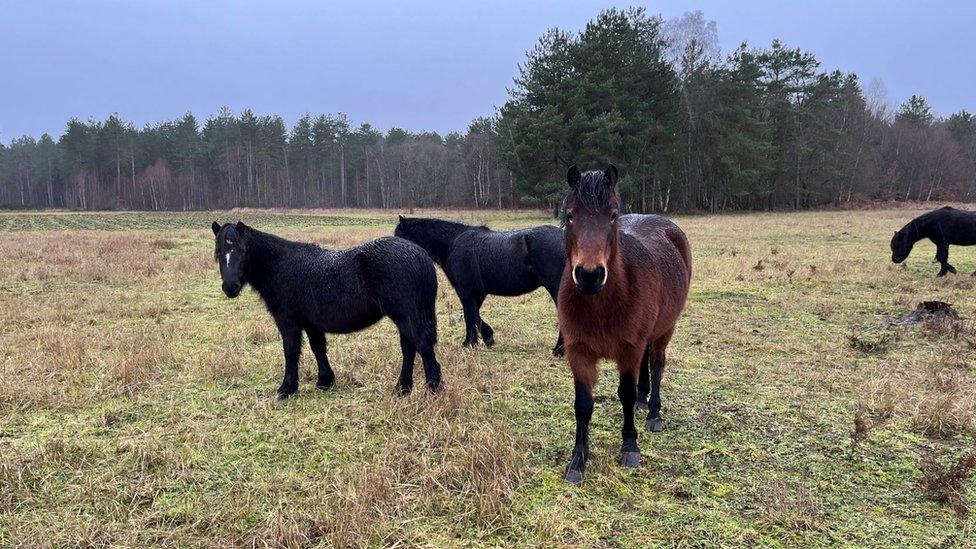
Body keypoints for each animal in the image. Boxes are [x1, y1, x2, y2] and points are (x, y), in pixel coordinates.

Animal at [214, 220, 446, 396]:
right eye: (218, 252)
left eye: (242, 250)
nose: (230, 287)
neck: (281, 267)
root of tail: (420, 255)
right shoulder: (311, 323)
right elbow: (318, 348)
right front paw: (325, 381)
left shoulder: (288, 322)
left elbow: (291, 351)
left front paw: (287, 389)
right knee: (409, 349)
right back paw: (402, 388)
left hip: (406, 316)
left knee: (422, 347)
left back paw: (432, 390)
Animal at [394, 216, 568, 354]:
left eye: (399, 235)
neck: (452, 243)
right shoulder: (478, 292)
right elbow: (475, 315)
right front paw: (487, 337)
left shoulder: (465, 290)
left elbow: (469, 315)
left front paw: (469, 343)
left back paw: (558, 350)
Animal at [556, 165, 692, 482]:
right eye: (569, 215)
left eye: (613, 215)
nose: (589, 275)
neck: (601, 304)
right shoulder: (578, 352)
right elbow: (583, 404)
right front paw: (578, 459)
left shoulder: (629, 349)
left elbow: (625, 395)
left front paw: (630, 446)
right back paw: (645, 400)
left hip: (665, 330)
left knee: (656, 364)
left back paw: (653, 412)